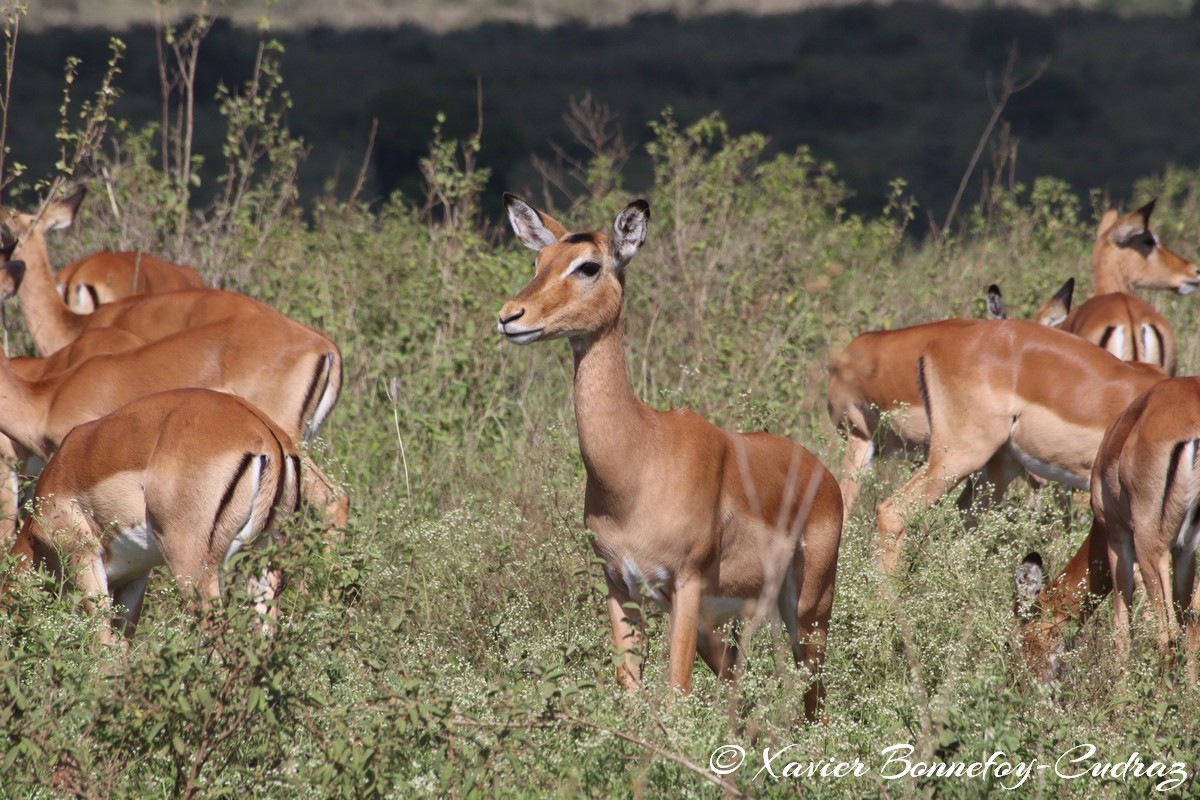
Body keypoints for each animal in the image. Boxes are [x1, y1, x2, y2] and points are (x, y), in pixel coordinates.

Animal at [6, 389, 299, 642]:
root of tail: (265, 435)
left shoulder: (84, 557)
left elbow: (102, 645)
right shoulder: (135, 578)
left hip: (192, 566)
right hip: (265, 560)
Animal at [497, 194, 843, 719]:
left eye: (588, 265)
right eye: (539, 262)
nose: (510, 316)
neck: (638, 463)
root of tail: (822, 474)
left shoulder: (686, 583)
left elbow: (676, 695)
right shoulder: (621, 587)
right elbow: (631, 690)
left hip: (808, 611)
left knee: (815, 697)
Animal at [1017, 378, 1200, 682]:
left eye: (1016, 638)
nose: (1022, 684)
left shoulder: (1117, 538)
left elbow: (1121, 628)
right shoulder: (1185, 550)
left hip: (1150, 549)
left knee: (1166, 634)